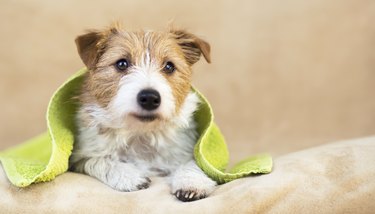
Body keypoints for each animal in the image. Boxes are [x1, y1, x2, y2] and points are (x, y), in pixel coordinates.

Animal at [70, 23, 217, 202]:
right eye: (122, 64)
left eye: (169, 66)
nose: (149, 98)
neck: (141, 134)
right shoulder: (80, 157)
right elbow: (100, 160)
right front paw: (128, 176)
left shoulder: (184, 151)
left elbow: (192, 163)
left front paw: (191, 182)